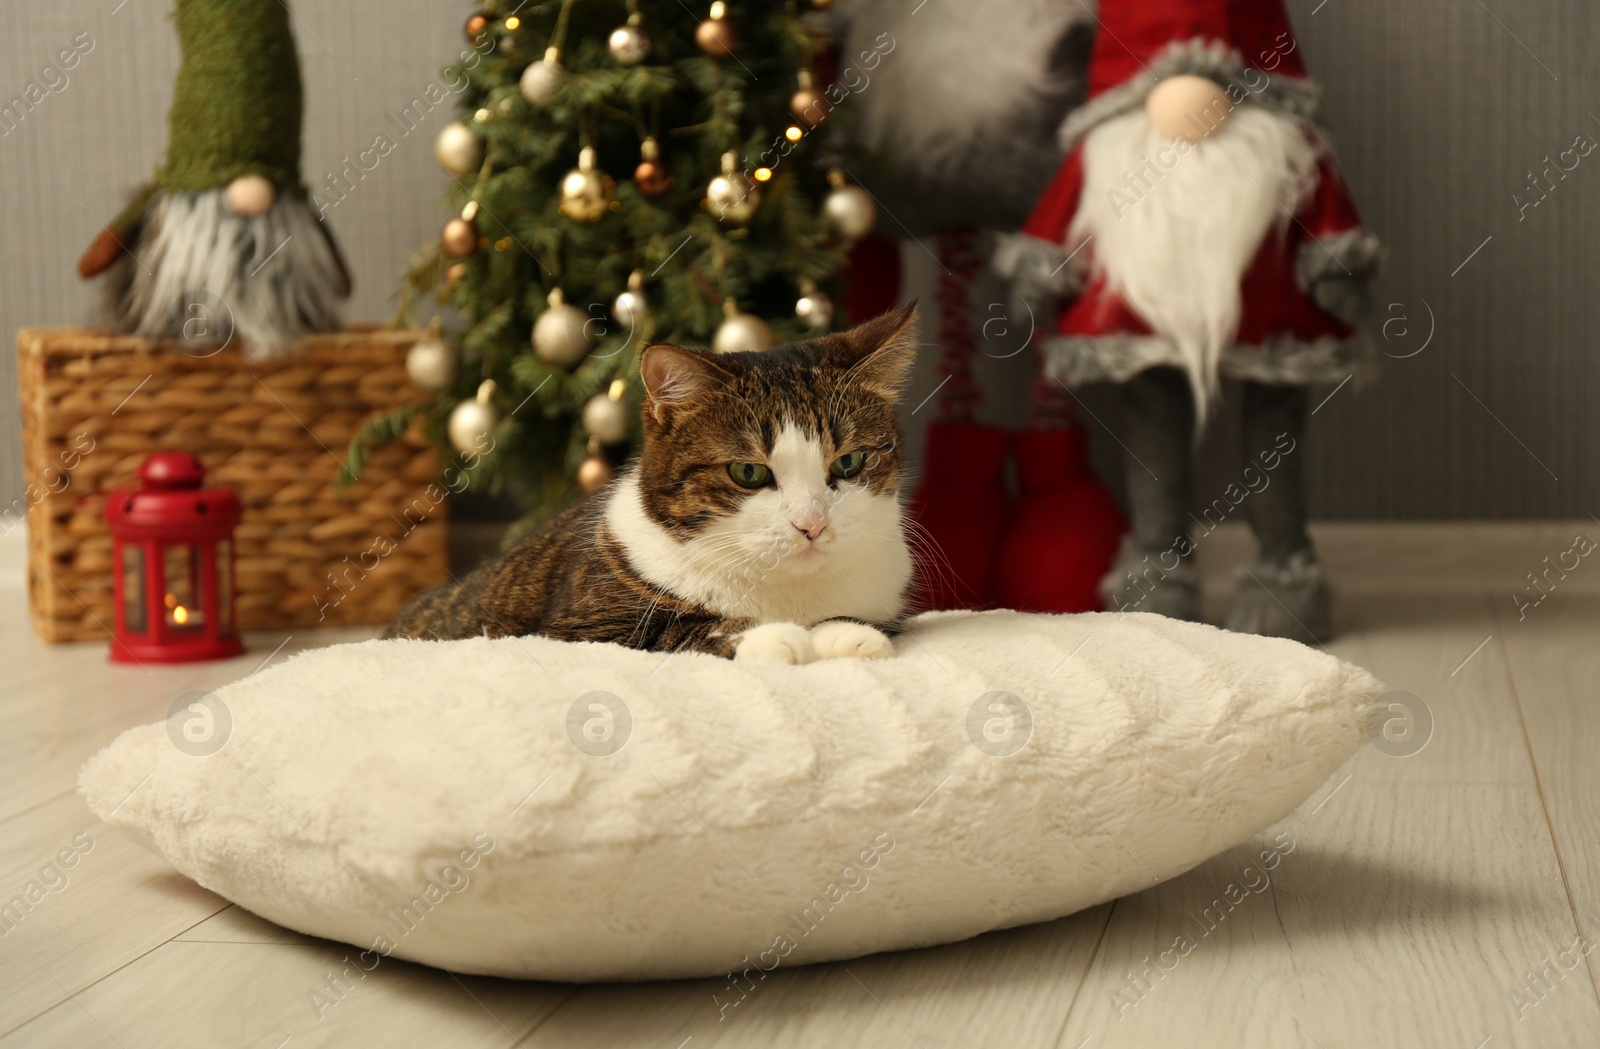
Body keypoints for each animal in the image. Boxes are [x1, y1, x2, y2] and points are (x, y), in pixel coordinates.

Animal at [380, 303, 921, 665]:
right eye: (748, 473)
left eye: (849, 462)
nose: (812, 525)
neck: (784, 589)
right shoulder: (576, 627)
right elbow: (673, 631)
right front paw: (774, 638)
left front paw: (850, 635)